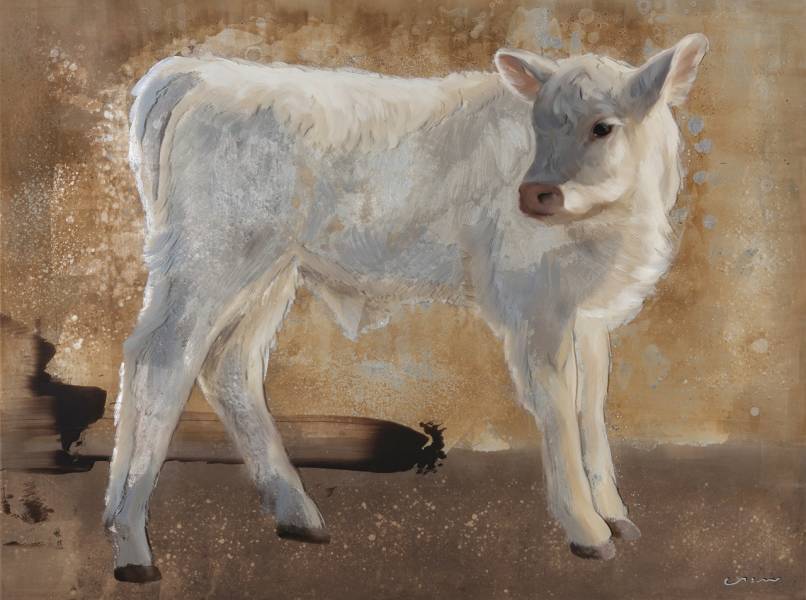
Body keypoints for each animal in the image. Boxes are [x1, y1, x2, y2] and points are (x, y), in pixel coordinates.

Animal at [105, 33, 708, 582]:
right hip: (207, 262)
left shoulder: (588, 319)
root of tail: (199, 73)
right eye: (539, 125)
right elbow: (560, 410)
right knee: (160, 361)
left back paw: (294, 512)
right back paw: (131, 541)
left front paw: (616, 515)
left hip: (269, 274)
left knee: (229, 367)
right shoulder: (538, 310)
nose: (535, 193)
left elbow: (592, 410)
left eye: (603, 125)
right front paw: (587, 529)